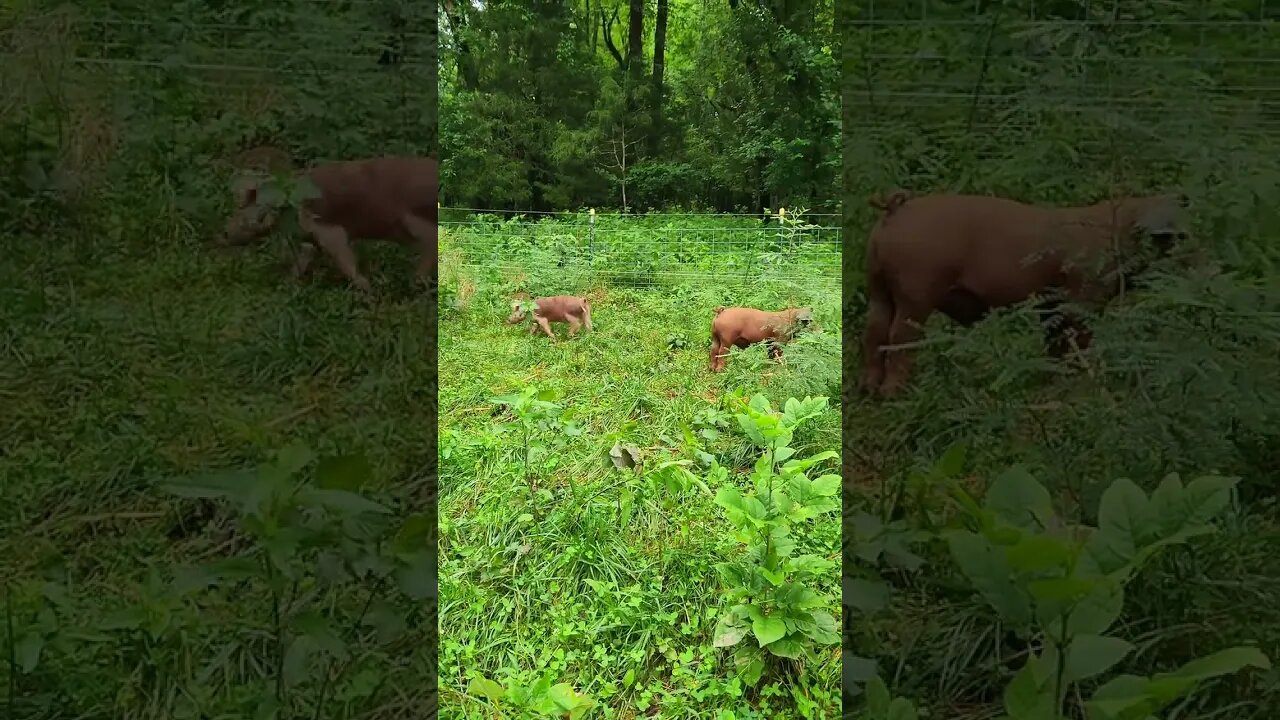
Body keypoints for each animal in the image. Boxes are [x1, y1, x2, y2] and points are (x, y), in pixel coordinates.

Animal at [222, 154, 437, 292]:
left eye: (246, 216)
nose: (225, 233)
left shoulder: (329, 229)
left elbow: (345, 259)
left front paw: (367, 291)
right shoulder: (311, 239)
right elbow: (304, 257)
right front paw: (288, 283)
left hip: (416, 220)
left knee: (431, 246)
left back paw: (415, 283)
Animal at [860, 188, 1187, 394]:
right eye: (1173, 239)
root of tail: (896, 209)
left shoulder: (1051, 303)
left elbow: (1055, 340)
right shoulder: (1083, 295)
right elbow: (1080, 338)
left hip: (878, 287)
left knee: (874, 330)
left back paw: (869, 389)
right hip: (916, 291)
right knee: (899, 336)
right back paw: (895, 393)